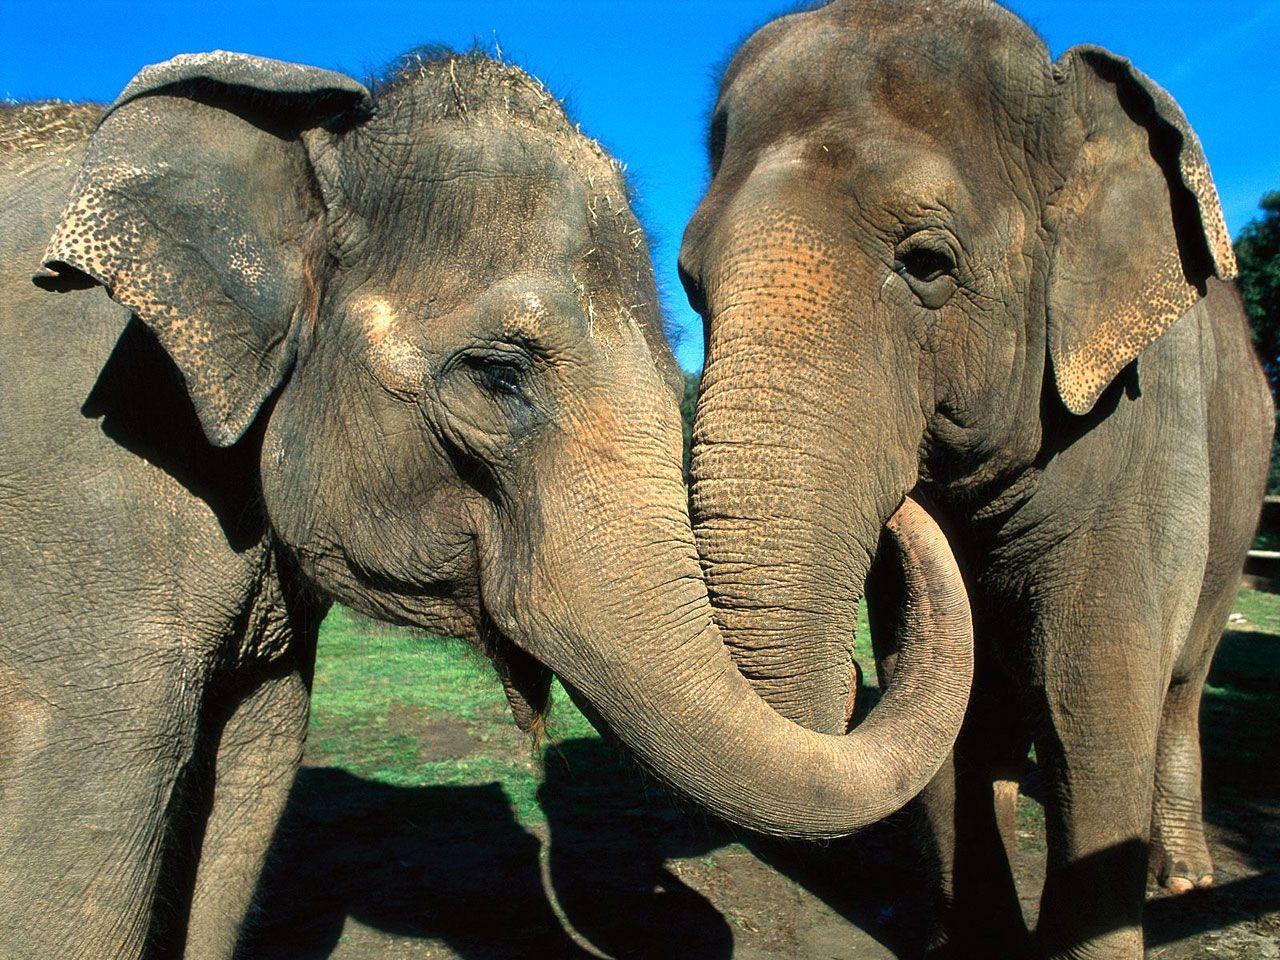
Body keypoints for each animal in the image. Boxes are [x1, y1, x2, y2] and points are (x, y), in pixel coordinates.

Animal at [678, 2, 1273, 958]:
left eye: (927, 262)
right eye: (692, 285)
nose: (904, 505)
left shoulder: (1151, 424)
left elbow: (1092, 695)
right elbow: (942, 708)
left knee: (1181, 683)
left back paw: (1183, 876)